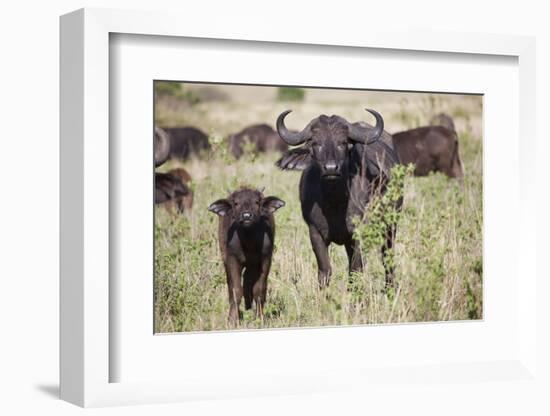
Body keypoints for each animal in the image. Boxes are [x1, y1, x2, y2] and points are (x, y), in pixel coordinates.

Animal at [209, 187, 286, 324]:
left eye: (257, 202)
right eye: (236, 203)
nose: (246, 216)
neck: (248, 242)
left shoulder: (265, 259)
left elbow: (259, 290)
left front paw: (259, 318)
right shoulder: (232, 259)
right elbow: (235, 290)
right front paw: (232, 319)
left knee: (248, 281)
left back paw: (249, 307)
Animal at [276, 108, 402, 290]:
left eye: (342, 142)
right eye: (315, 143)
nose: (330, 168)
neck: (334, 202)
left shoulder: (359, 233)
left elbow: (357, 269)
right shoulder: (315, 232)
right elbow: (325, 271)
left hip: (391, 224)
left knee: (387, 258)